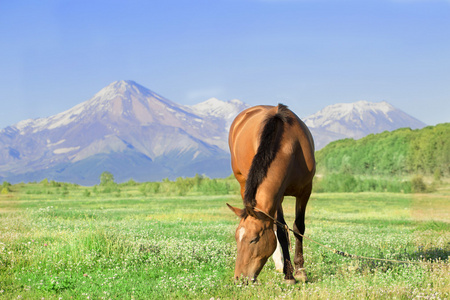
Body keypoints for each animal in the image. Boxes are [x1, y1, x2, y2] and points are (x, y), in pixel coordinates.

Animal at [227, 103, 314, 284]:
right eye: (236, 238)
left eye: (253, 239)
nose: (239, 279)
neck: (290, 147)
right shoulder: (277, 197)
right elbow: (281, 231)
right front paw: (289, 274)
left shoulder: (305, 191)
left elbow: (298, 227)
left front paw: (300, 271)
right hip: (243, 183)